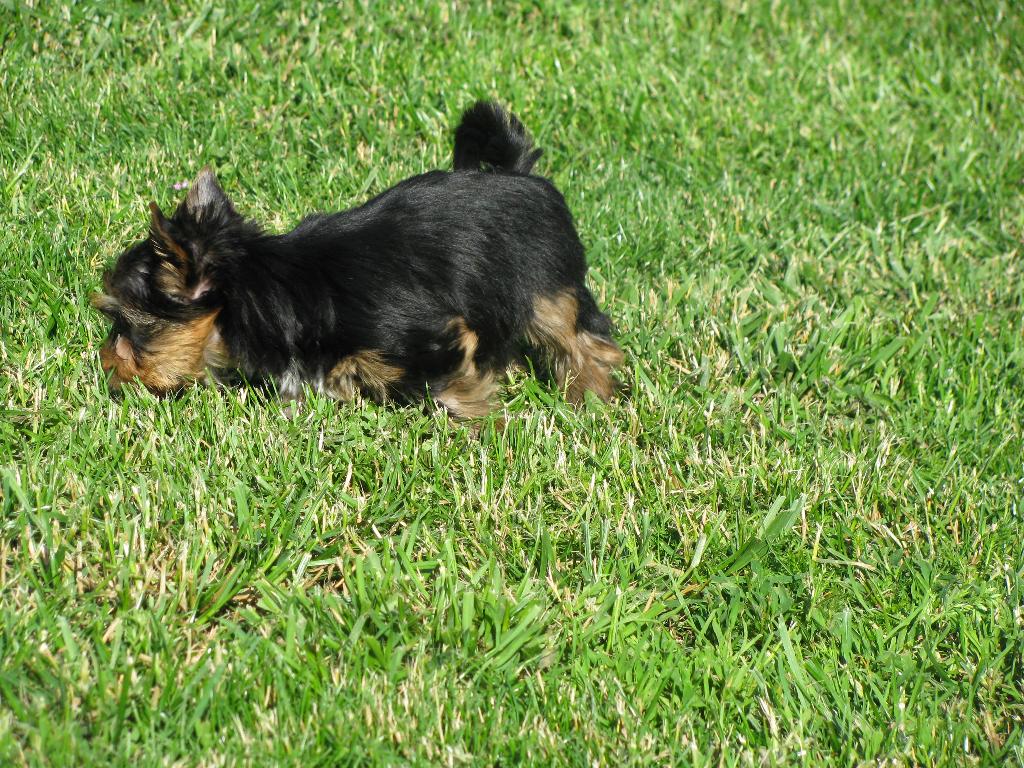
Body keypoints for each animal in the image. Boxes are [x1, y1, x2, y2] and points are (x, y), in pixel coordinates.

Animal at [94, 100, 622, 421]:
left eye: (130, 325)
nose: (106, 367)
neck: (266, 289)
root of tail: (519, 173)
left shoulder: (431, 337)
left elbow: (452, 390)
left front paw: (478, 429)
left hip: (546, 286)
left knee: (580, 338)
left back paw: (590, 400)